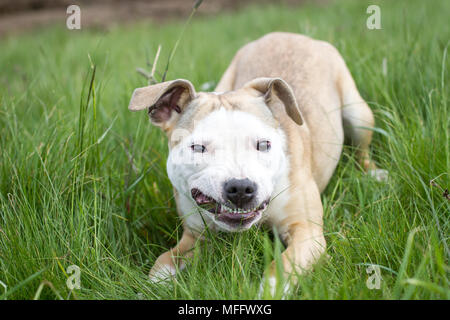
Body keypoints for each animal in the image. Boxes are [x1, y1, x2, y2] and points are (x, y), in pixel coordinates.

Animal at [127, 31, 386, 296]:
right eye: (198, 148)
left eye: (263, 144)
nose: (240, 187)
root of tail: (287, 34)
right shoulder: (195, 236)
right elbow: (162, 264)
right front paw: (146, 290)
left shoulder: (307, 232)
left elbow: (281, 268)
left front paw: (266, 291)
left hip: (358, 114)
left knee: (362, 149)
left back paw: (374, 174)